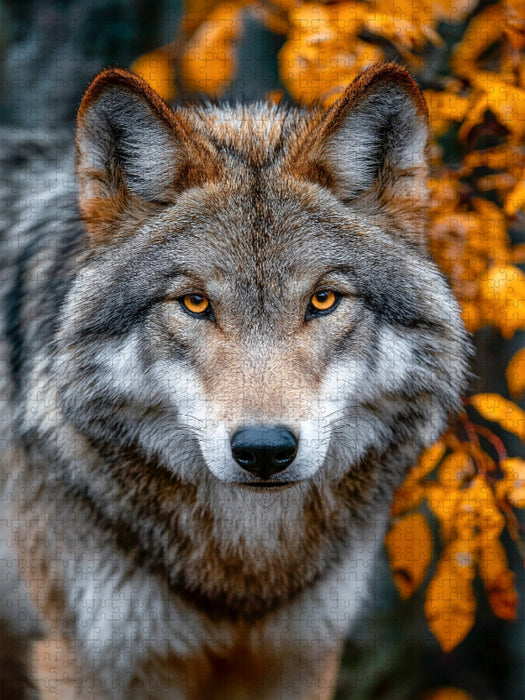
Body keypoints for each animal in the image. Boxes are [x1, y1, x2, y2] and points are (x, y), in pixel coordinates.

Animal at [0, 62, 470, 698]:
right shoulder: (88, 660)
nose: (264, 450)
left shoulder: (299, 655)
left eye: (323, 300)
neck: (244, 572)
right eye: (195, 303)